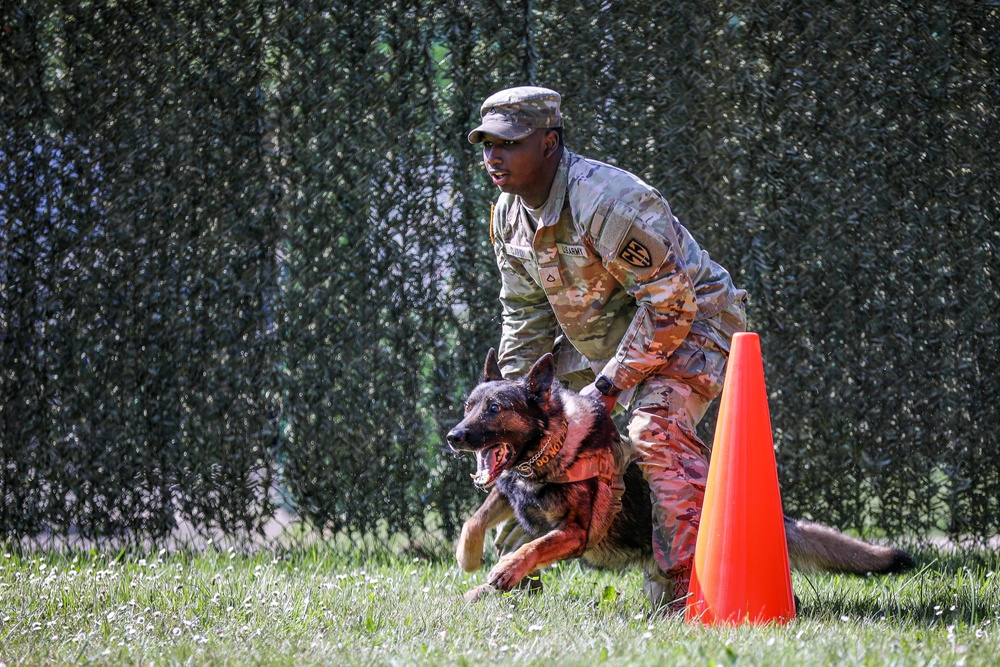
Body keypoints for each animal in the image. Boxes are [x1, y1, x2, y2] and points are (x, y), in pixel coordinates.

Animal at [450, 352, 916, 608]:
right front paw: (469, 559)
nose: (455, 437)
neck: (553, 445)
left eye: (495, 409)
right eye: (469, 406)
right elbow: (476, 518)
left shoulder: (576, 531)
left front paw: (504, 568)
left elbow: (533, 545)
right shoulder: (511, 493)